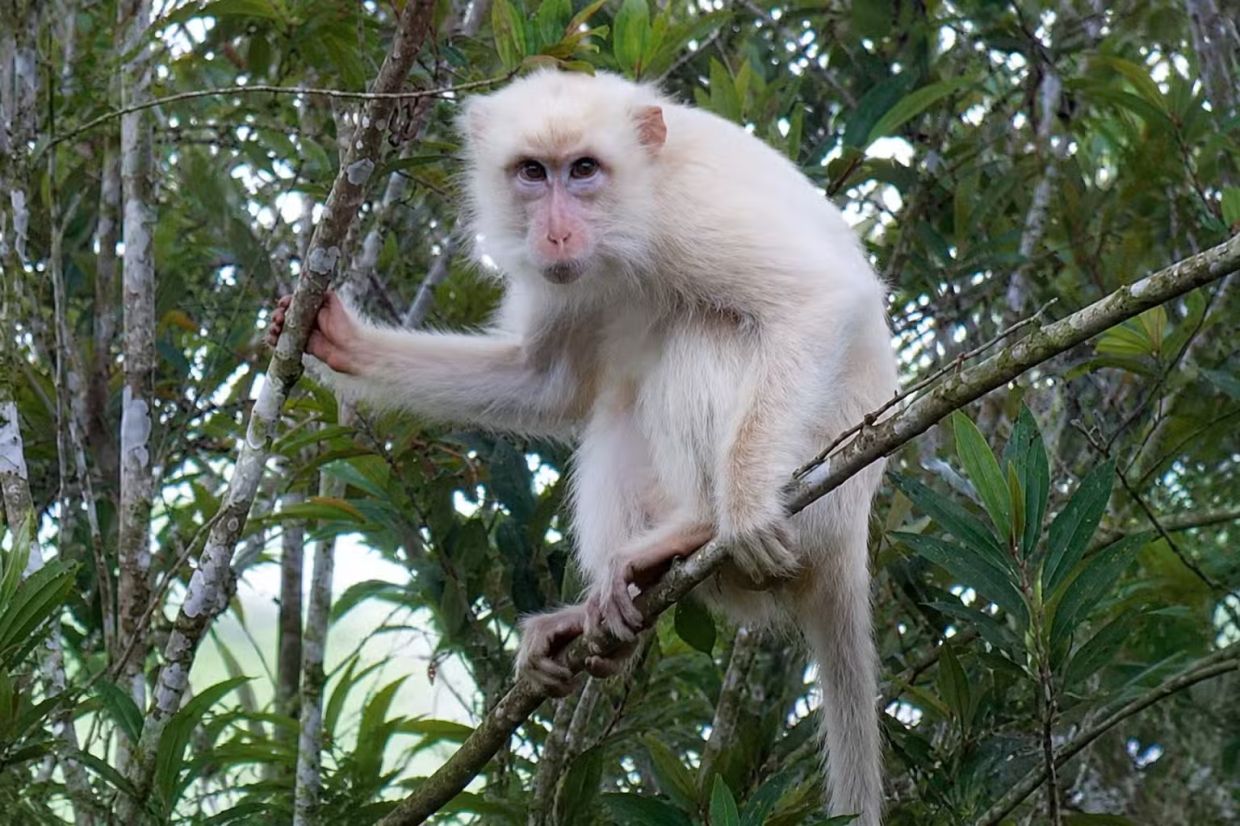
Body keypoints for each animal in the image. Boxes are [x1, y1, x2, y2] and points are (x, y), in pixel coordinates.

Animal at [268, 70, 897, 824]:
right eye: (533, 173)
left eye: (584, 170)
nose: (557, 232)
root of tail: (849, 538)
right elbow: (547, 382)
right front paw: (344, 344)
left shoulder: (689, 213)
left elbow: (820, 300)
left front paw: (743, 512)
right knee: (617, 408)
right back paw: (604, 614)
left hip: (814, 486)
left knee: (705, 331)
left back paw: (698, 526)